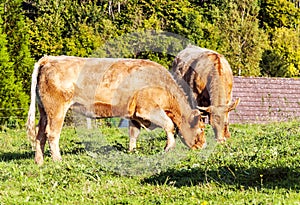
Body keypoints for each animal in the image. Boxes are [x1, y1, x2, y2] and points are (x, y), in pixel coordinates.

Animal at [27, 56, 206, 165]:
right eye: (201, 129)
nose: (203, 146)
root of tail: (50, 58)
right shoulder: (147, 109)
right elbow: (169, 125)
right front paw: (168, 148)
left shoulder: (134, 114)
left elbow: (134, 133)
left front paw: (132, 151)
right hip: (56, 109)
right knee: (52, 133)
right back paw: (58, 160)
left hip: (44, 111)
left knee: (39, 134)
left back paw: (39, 161)